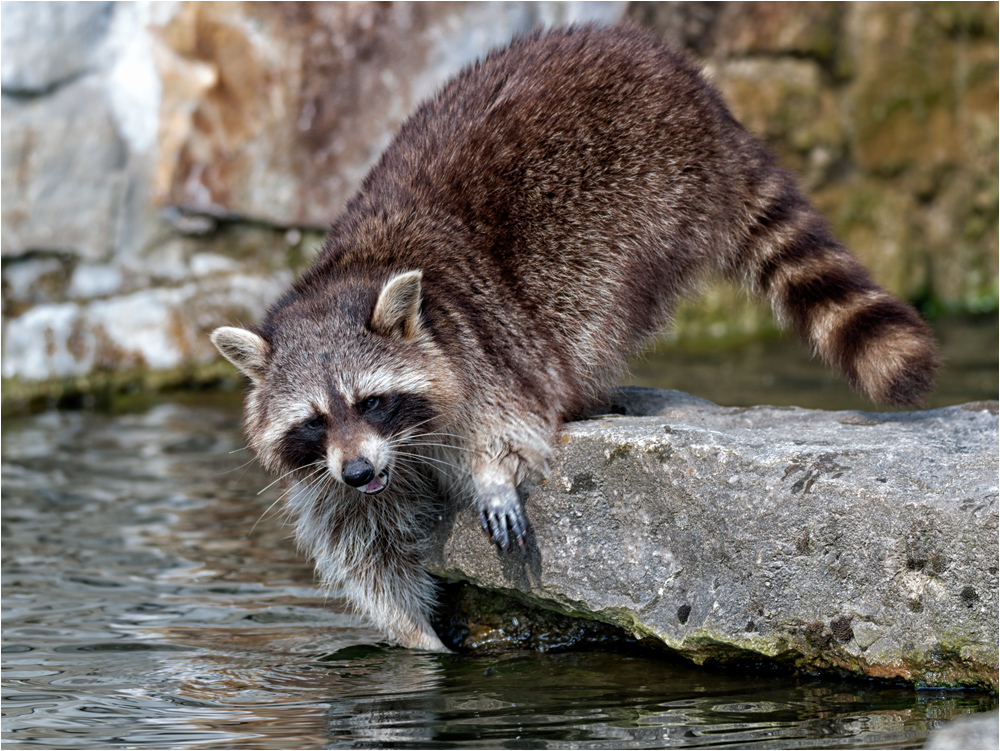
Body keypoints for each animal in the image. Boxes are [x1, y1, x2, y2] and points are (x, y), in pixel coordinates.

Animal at [211, 26, 936, 652]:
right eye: (312, 420)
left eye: (373, 401)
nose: (360, 470)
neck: (350, 276)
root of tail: (700, 93)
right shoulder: (331, 470)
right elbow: (365, 547)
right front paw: (420, 639)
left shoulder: (475, 345)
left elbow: (506, 418)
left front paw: (493, 472)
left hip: (643, 193)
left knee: (591, 309)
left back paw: (580, 389)